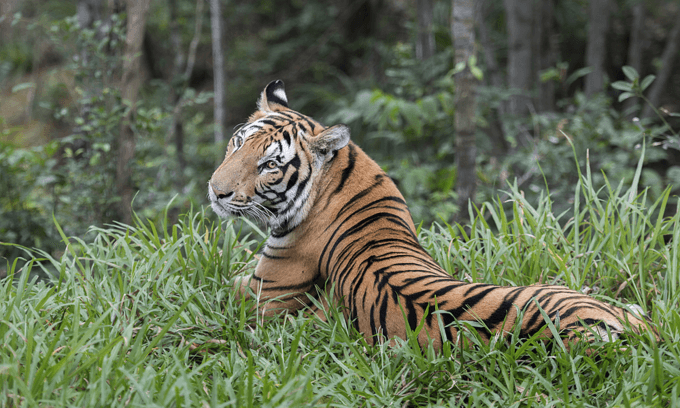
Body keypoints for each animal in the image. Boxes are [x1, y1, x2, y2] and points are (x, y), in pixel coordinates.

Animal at [208, 80, 657, 351]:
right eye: (238, 142)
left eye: (269, 165)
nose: (216, 190)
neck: (343, 177)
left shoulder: (260, 294)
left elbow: (214, 283)